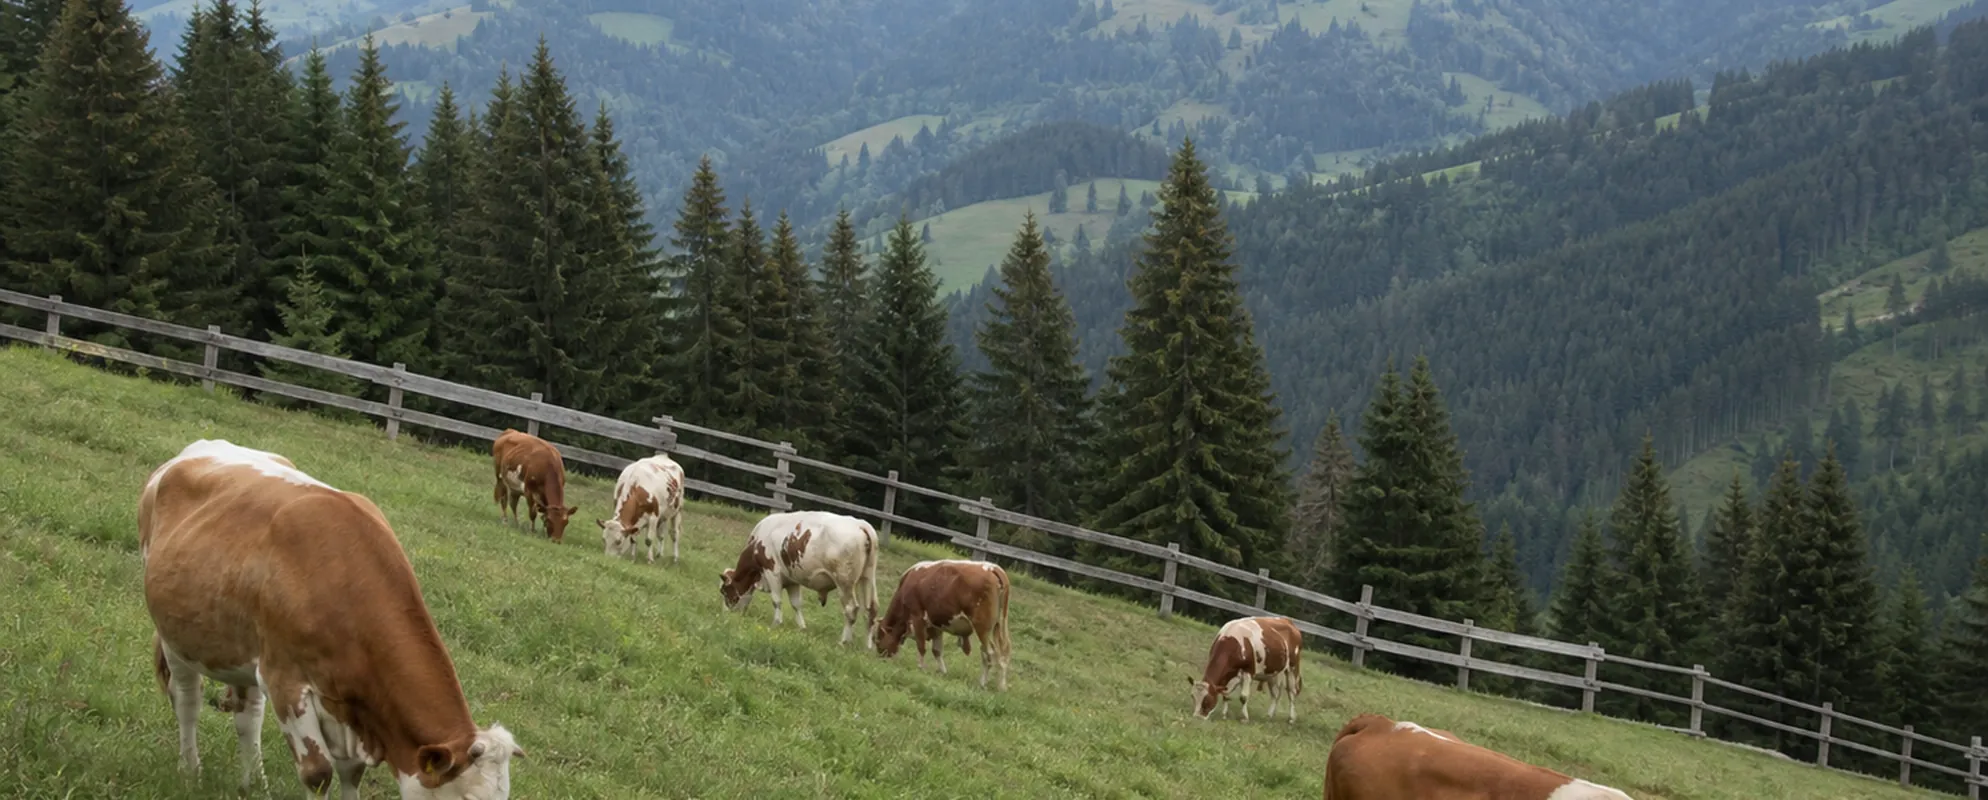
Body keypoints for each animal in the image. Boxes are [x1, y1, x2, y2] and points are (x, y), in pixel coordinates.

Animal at [138, 439, 523, 799]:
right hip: (176, 636)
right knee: (188, 699)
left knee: (248, 715)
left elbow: (351, 773)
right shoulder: (286, 683)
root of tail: (202, 446)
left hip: (241, 648)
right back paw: (190, 770)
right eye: (468, 798)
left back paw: (254, 785)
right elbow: (317, 773)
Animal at [718, 510, 880, 647]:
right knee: (871, 610)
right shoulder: (792, 581)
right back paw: (868, 647)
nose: (725, 613)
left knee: (851, 609)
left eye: (724, 591)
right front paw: (802, 627)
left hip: (844, 582)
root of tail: (861, 524)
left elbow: (776, 601)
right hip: (867, 578)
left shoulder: (772, 572)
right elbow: (796, 604)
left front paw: (776, 623)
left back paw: (844, 641)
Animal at [873, 559, 1013, 691]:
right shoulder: (936, 625)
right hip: (998, 625)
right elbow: (937, 650)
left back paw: (983, 683)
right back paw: (1002, 685)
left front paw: (920, 667)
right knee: (1003, 653)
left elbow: (921, 645)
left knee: (989, 654)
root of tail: (993, 568)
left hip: (982, 627)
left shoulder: (918, 617)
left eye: (877, 640)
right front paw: (942, 671)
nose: (880, 658)